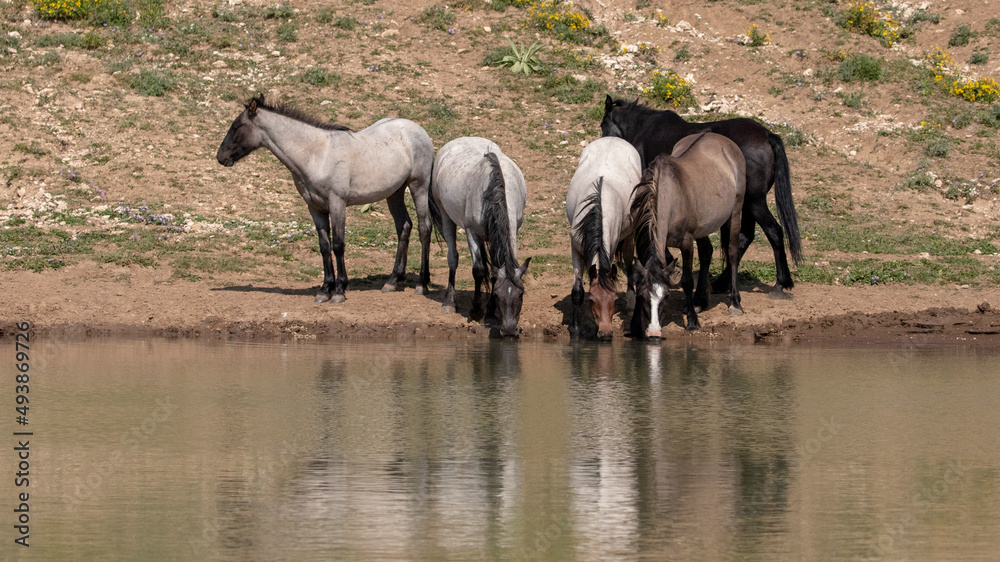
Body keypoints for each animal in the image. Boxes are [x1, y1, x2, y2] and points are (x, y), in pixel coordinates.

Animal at [216, 95, 433, 303]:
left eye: (236, 126)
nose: (220, 157)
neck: (316, 154)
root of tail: (418, 129)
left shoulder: (337, 203)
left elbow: (338, 245)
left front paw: (339, 291)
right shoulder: (315, 207)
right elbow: (324, 246)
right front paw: (324, 289)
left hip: (418, 187)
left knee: (424, 229)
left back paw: (421, 284)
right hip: (395, 193)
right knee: (404, 226)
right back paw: (393, 281)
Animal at [429, 137, 530, 337]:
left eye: (521, 294)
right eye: (498, 295)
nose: (509, 330)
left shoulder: (512, 230)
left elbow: (493, 272)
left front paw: (490, 312)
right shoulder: (472, 232)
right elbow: (479, 270)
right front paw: (476, 311)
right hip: (445, 214)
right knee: (453, 257)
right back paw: (449, 301)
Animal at [565, 137, 642, 340]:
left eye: (614, 299)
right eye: (592, 299)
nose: (606, 333)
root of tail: (613, 138)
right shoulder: (575, 249)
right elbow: (577, 291)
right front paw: (576, 329)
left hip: (630, 235)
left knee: (630, 264)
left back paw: (631, 302)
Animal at [601, 95, 801, 298]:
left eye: (603, 126)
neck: (642, 127)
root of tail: (767, 135)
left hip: (754, 202)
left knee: (773, 231)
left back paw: (779, 284)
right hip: (747, 204)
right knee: (746, 236)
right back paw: (721, 283)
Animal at [629, 132, 746, 337]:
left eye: (666, 296)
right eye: (642, 296)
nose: (654, 332)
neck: (667, 196)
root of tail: (725, 141)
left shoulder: (686, 242)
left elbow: (687, 280)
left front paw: (692, 322)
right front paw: (635, 325)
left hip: (735, 211)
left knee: (732, 252)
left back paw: (735, 303)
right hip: (703, 227)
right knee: (707, 251)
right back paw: (699, 302)